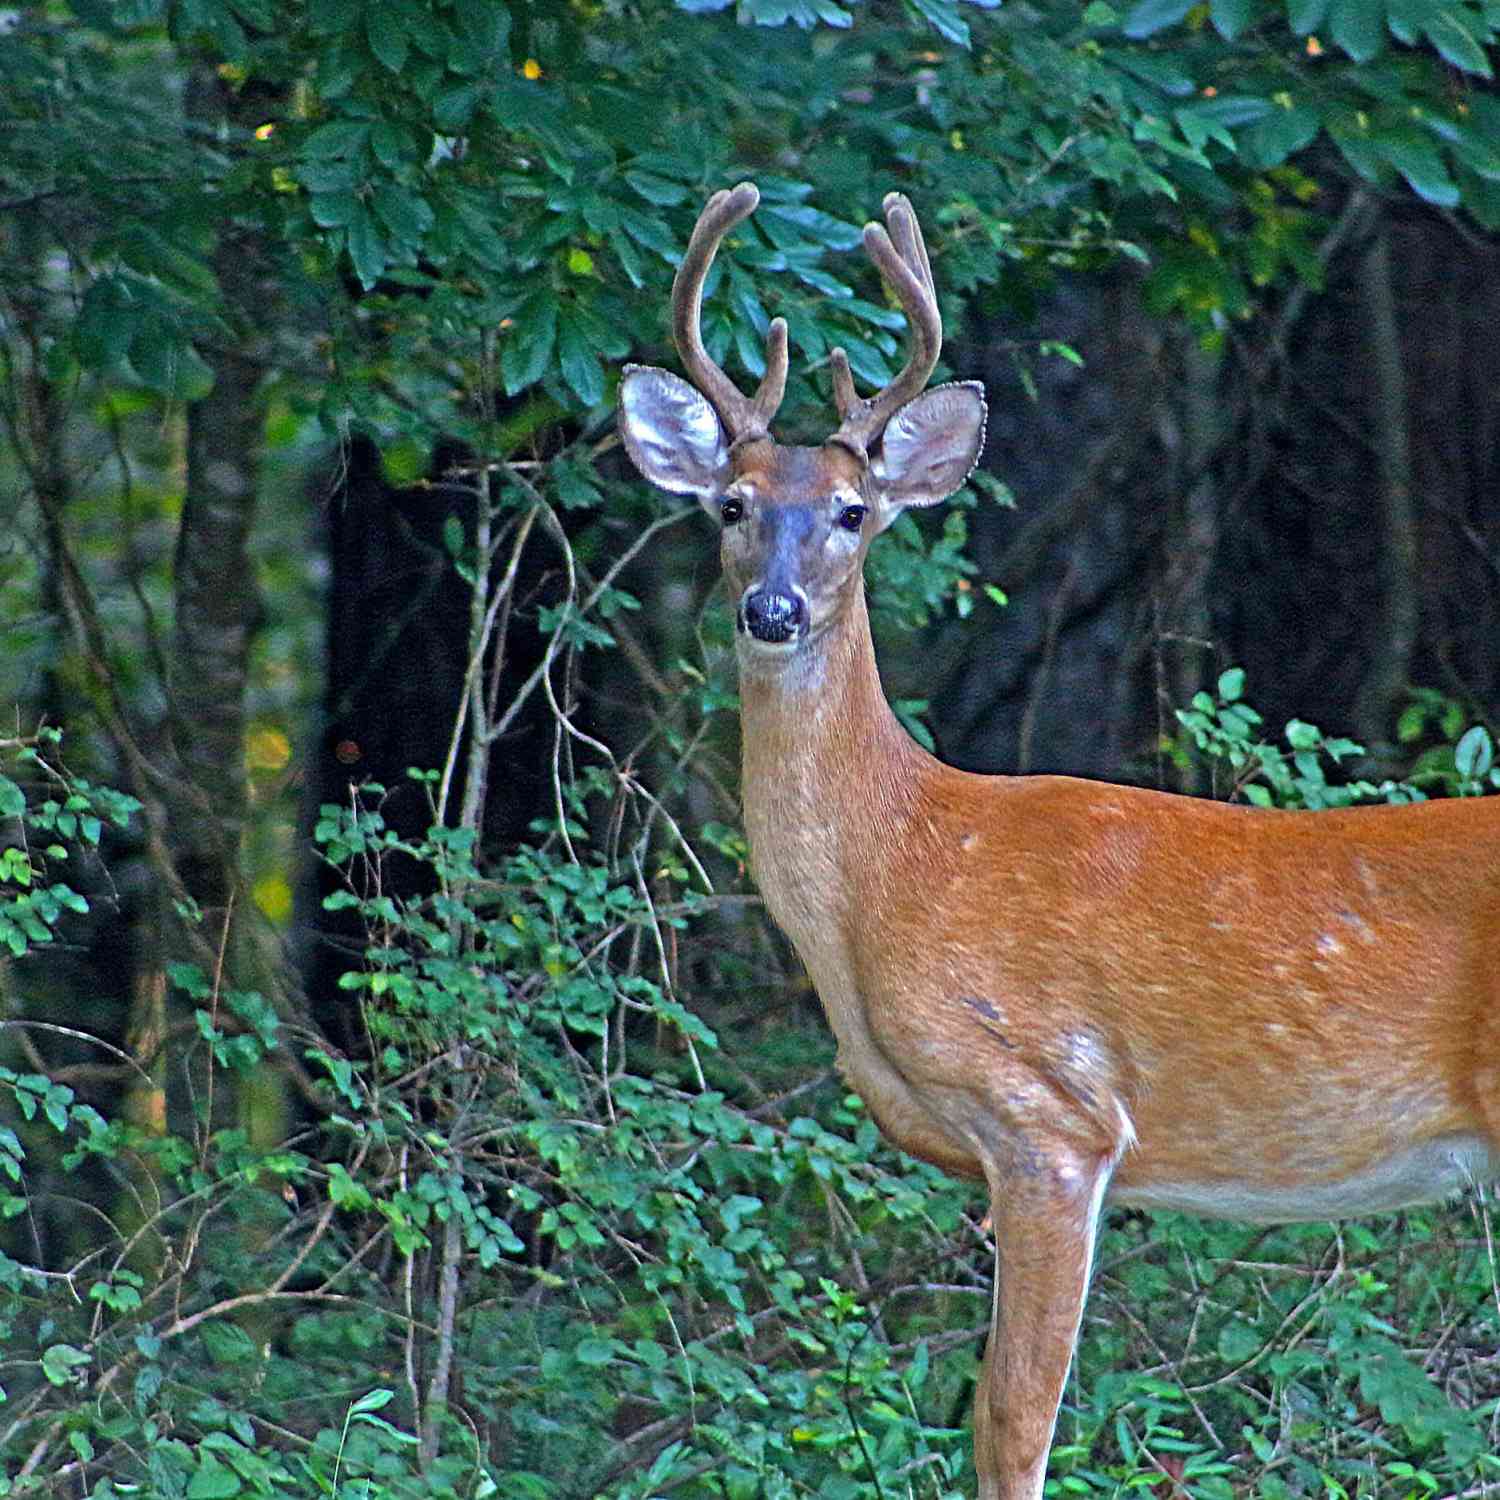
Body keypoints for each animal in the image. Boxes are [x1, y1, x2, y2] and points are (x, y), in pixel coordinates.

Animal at [615, 184, 1494, 1500]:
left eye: (853, 513)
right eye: (732, 505)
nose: (773, 609)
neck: (899, 867)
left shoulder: (1054, 1120)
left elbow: (1011, 1415)